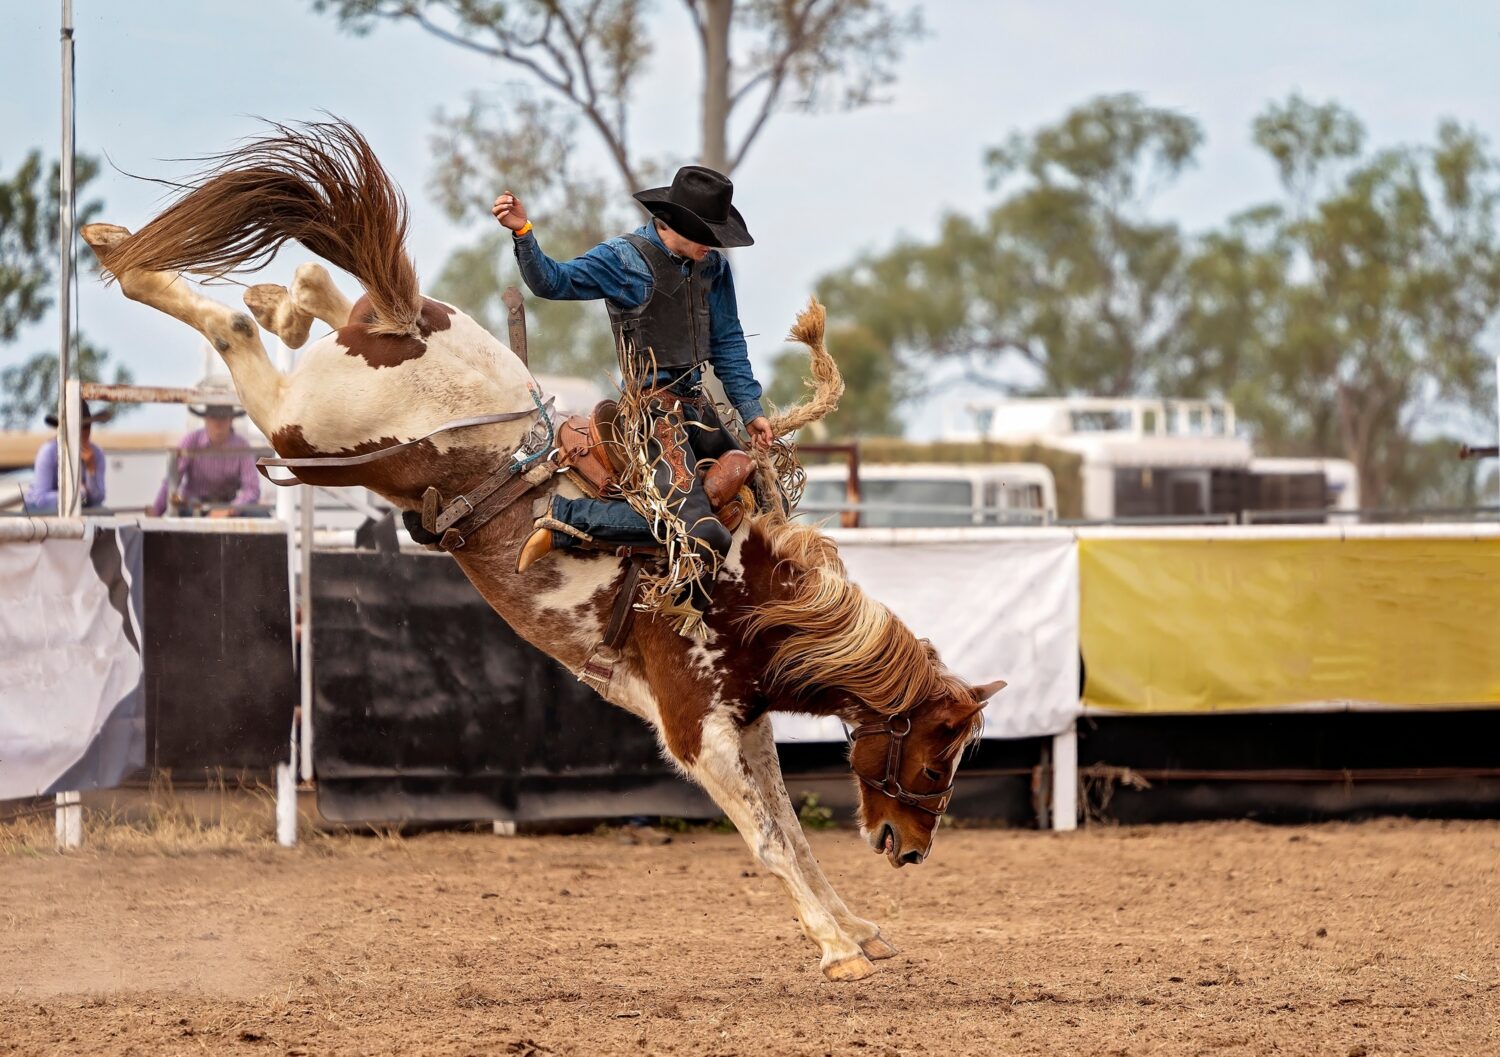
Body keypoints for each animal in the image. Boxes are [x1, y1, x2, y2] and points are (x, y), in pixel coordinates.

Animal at [76, 117, 1002, 983]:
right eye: (937, 754)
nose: (909, 848)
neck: (745, 595)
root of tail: (410, 324)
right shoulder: (697, 729)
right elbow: (771, 836)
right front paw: (838, 946)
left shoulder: (747, 725)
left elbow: (790, 828)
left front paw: (857, 927)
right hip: (305, 432)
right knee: (234, 330)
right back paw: (131, 257)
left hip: (350, 396)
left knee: (325, 300)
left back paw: (259, 287)